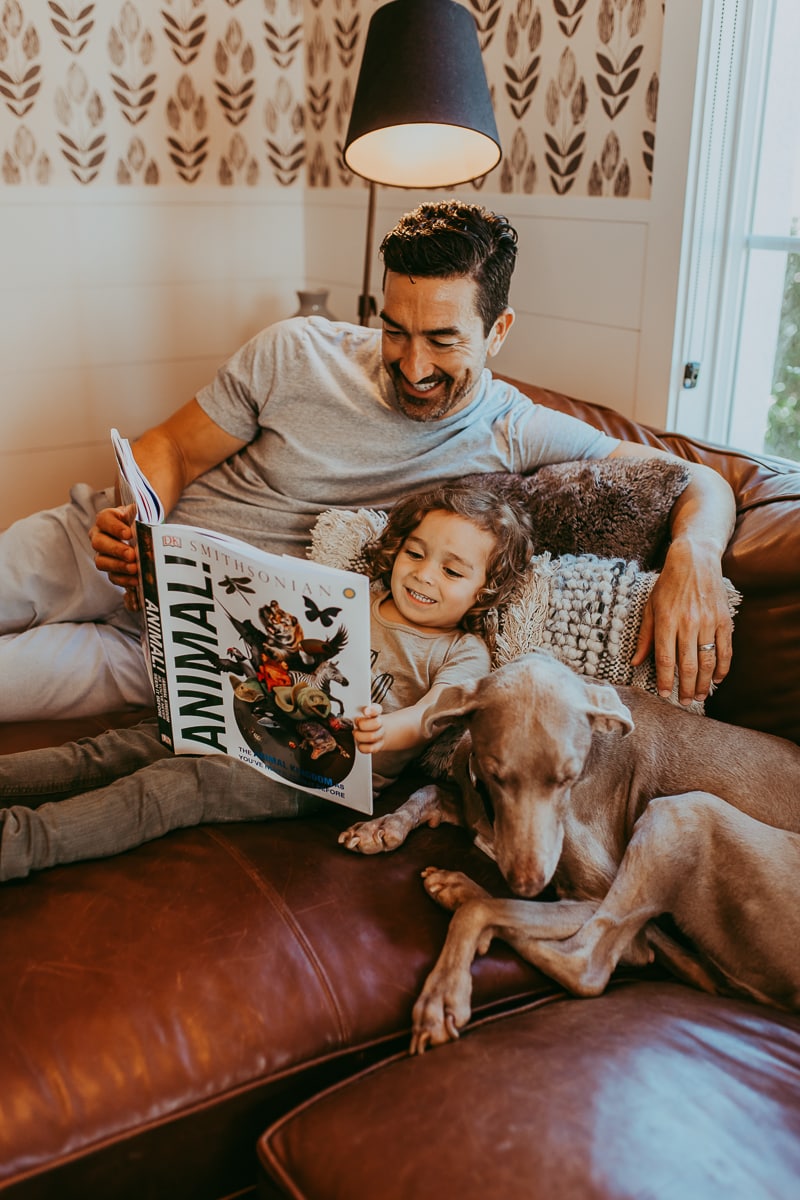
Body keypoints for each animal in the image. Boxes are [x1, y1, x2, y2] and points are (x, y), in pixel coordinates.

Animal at [340, 652, 800, 1056]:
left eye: (569, 777)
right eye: (496, 775)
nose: (527, 883)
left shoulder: (595, 891)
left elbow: (484, 912)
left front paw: (442, 994)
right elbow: (429, 791)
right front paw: (381, 828)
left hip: (681, 812)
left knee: (592, 964)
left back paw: (463, 892)